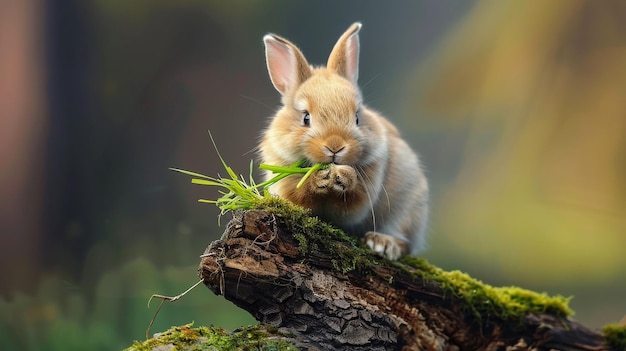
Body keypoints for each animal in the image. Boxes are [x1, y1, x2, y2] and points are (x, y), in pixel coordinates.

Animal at [256, 21, 426, 258]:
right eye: (306, 118)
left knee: (406, 244)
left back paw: (383, 243)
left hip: (409, 207)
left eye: (357, 117)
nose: (335, 146)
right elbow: (301, 196)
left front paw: (343, 174)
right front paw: (321, 177)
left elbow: (350, 207)